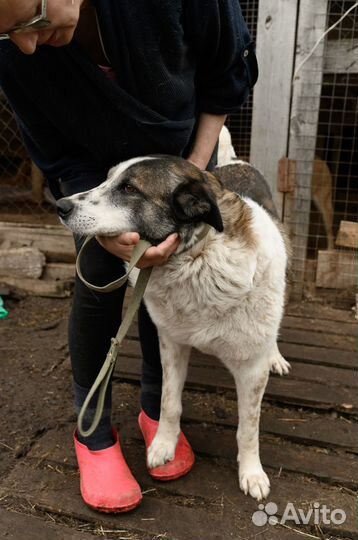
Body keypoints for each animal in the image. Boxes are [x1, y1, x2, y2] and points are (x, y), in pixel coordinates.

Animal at [56, 153, 290, 502]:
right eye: (107, 179)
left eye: (129, 189)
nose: (61, 205)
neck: (197, 259)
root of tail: (235, 160)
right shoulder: (171, 344)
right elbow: (168, 402)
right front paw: (164, 445)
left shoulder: (251, 370)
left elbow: (248, 428)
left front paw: (252, 473)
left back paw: (275, 355)